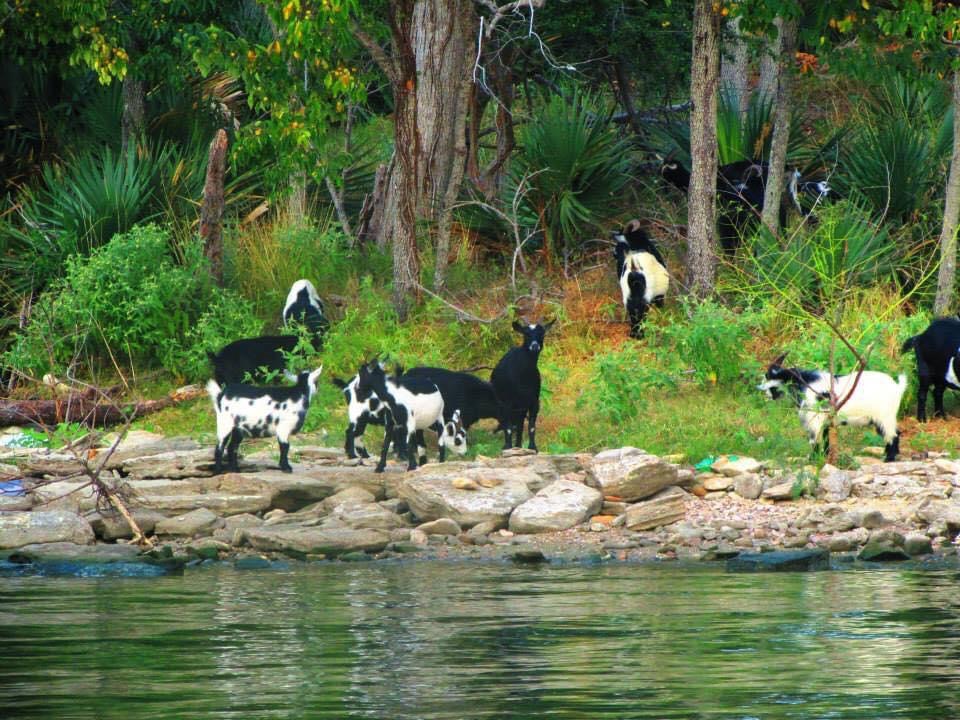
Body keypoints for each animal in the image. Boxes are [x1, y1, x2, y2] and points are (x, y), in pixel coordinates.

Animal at [492, 320, 552, 450]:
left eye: (542, 333)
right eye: (526, 334)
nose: (534, 346)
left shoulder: (533, 402)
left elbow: (531, 427)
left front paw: (532, 447)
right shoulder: (507, 403)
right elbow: (508, 428)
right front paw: (508, 447)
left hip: (520, 408)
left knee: (519, 427)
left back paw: (518, 446)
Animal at [756, 352, 908, 462]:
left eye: (769, 376)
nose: (761, 389)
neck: (806, 384)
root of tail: (897, 387)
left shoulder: (814, 420)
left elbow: (815, 441)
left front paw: (813, 460)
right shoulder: (825, 422)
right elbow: (825, 440)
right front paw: (824, 457)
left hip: (884, 416)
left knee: (893, 435)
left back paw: (889, 459)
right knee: (895, 433)